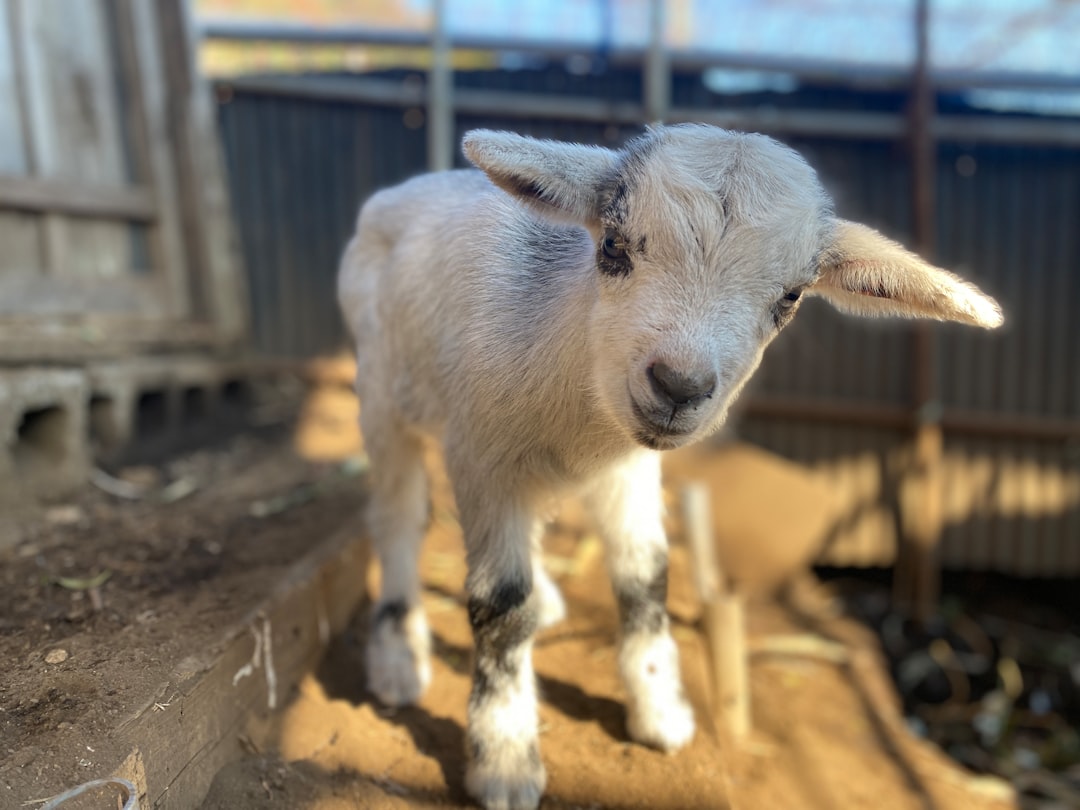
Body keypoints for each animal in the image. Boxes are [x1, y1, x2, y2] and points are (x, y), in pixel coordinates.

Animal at [337, 124, 1002, 810]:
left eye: (791, 296)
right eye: (612, 244)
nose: (679, 386)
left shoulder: (626, 469)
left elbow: (646, 576)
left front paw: (661, 712)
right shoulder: (484, 458)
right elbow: (500, 603)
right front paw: (506, 761)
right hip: (382, 393)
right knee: (397, 518)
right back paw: (397, 656)